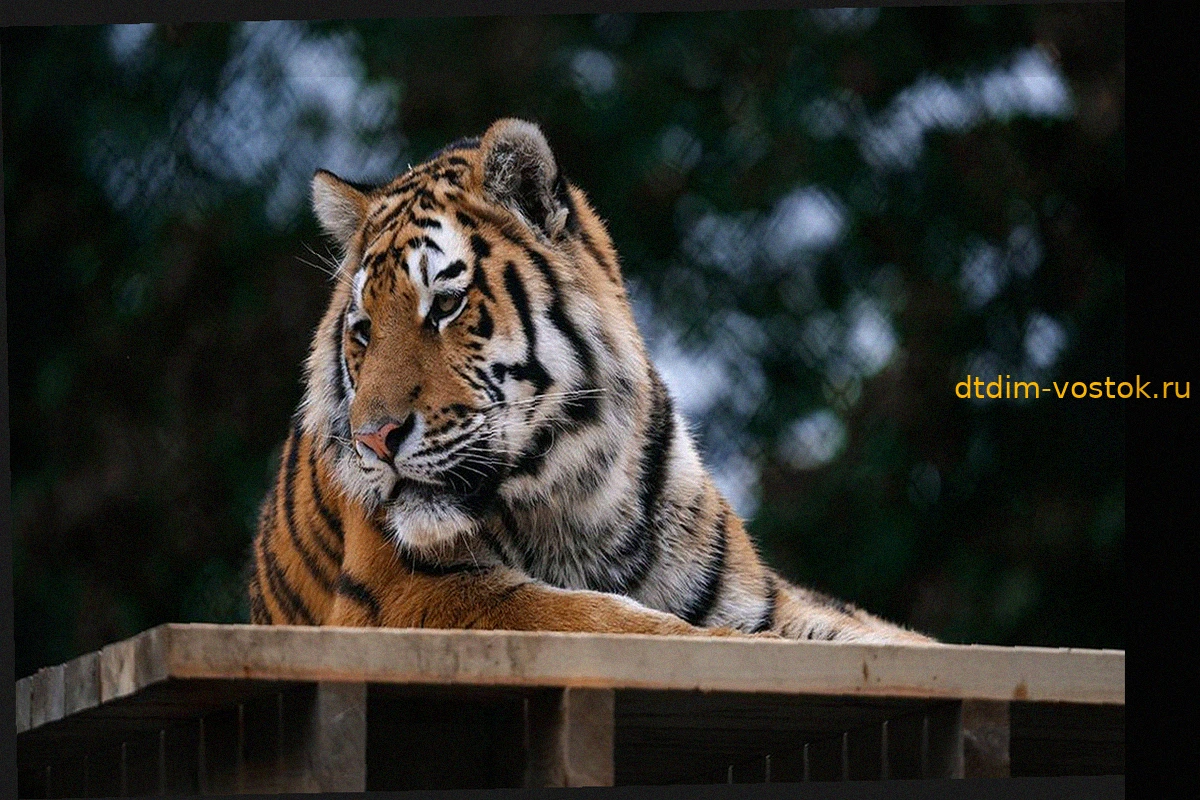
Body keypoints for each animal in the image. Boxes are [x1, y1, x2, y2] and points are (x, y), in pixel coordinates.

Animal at [247, 118, 930, 644]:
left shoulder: (757, 596)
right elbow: (623, 621)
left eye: (444, 305)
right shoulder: (415, 592)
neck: (570, 486)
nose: (373, 440)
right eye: (363, 330)